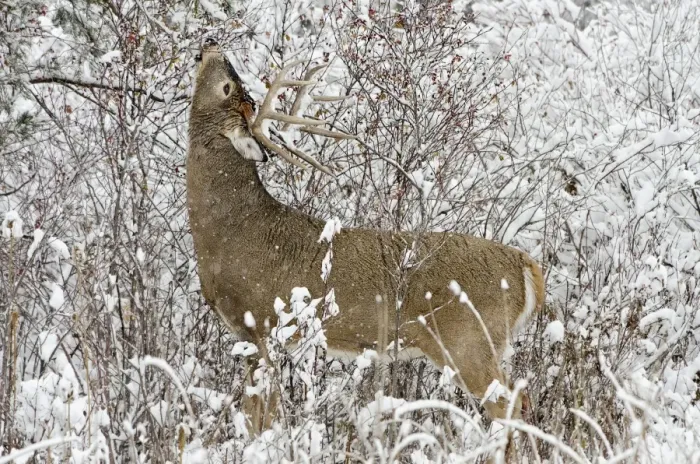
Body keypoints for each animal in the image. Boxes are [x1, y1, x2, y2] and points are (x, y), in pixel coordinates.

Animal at [187, 40, 545, 434]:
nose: (211, 45)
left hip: (470, 340)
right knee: (524, 400)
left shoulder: (262, 328)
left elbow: (258, 419)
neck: (229, 232)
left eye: (226, 87)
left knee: (509, 407)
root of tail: (525, 264)